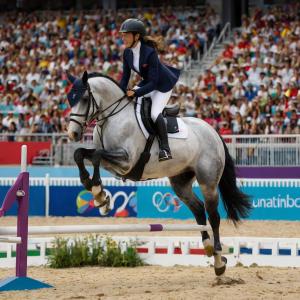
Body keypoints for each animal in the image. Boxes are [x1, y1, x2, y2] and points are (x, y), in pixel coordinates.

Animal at [67, 71, 252, 276]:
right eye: (70, 99)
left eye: (84, 98)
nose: (72, 134)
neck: (112, 119)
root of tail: (213, 131)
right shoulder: (114, 163)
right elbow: (81, 154)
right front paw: (98, 193)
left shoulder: (127, 161)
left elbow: (97, 155)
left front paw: (99, 193)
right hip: (180, 183)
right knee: (198, 210)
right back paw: (208, 247)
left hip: (208, 182)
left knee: (213, 216)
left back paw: (219, 260)